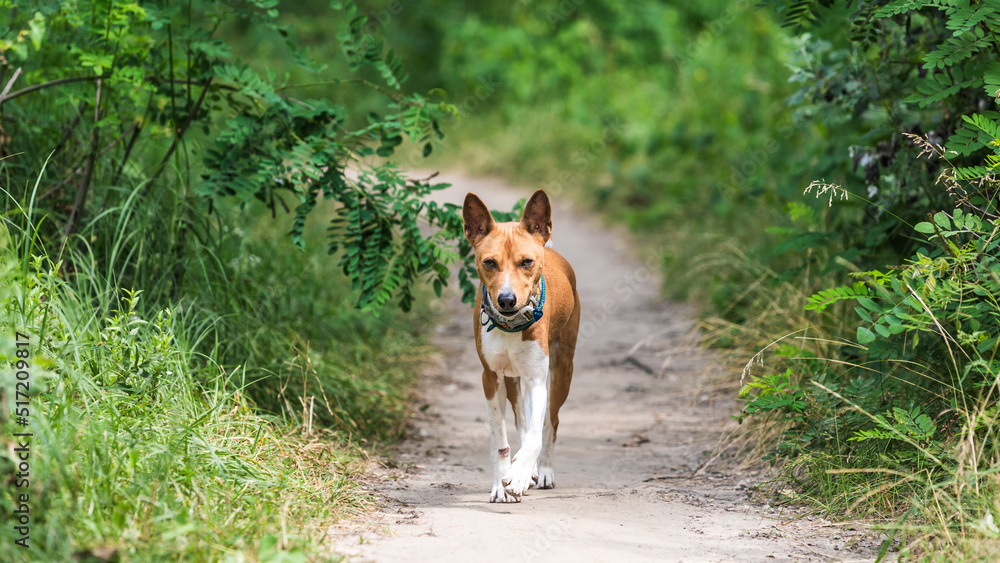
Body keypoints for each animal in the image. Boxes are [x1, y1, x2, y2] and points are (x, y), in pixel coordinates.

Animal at [458, 189, 580, 502]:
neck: (511, 326)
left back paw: (543, 470)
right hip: (512, 379)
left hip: (563, 369)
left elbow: (537, 432)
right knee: (521, 418)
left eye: (526, 262)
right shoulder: (491, 378)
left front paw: (522, 473)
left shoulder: (538, 378)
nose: (507, 300)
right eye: (489, 262)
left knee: (551, 422)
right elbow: (500, 441)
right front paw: (502, 483)